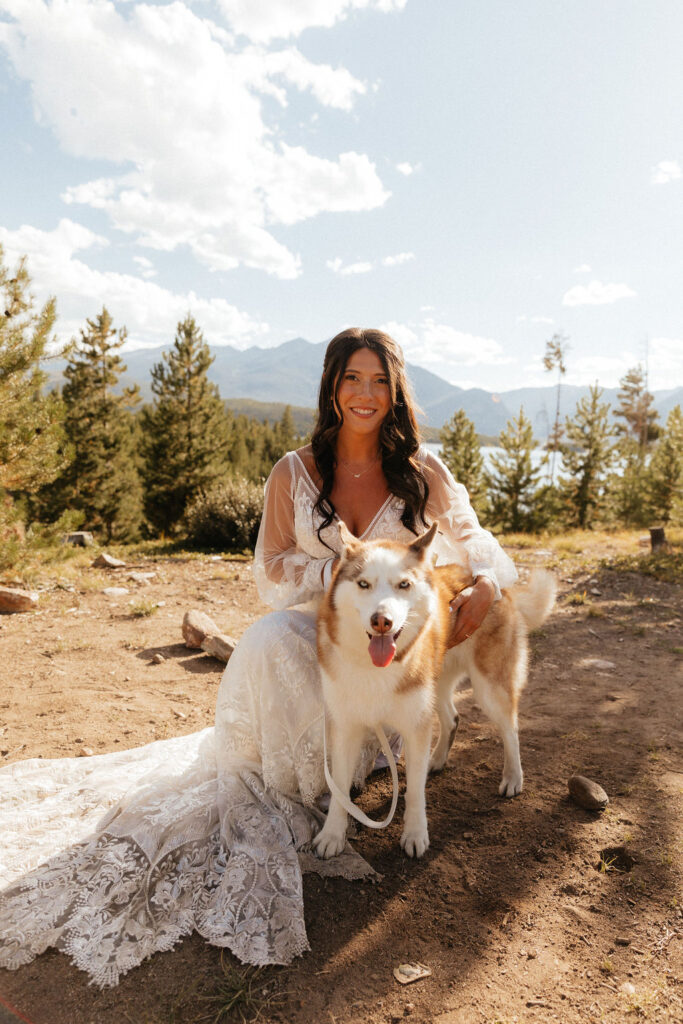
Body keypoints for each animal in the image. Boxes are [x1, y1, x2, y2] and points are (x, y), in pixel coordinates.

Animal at [313, 524, 557, 860]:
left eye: (404, 584)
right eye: (364, 584)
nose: (382, 621)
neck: (374, 667)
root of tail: (490, 581)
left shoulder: (415, 725)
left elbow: (416, 792)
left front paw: (415, 834)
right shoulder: (345, 727)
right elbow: (339, 790)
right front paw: (333, 834)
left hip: (489, 687)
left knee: (511, 729)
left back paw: (512, 777)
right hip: (435, 685)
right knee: (452, 718)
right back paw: (436, 760)